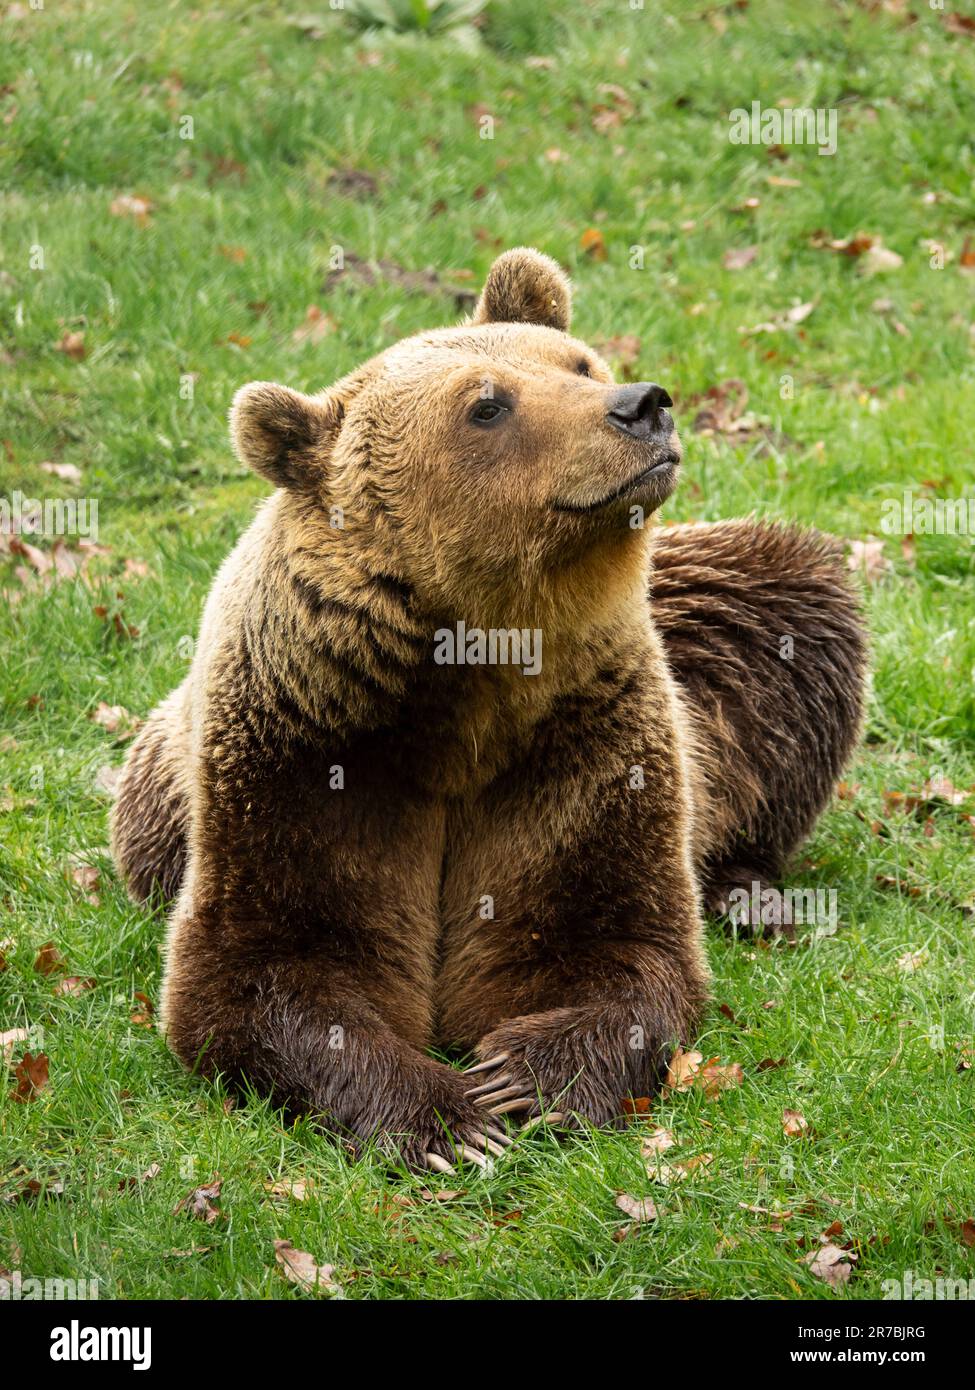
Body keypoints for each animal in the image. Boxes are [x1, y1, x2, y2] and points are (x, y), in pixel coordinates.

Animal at [110, 244, 862, 1167]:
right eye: (486, 405)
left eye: (577, 364)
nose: (642, 405)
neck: (470, 682)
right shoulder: (303, 751)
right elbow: (267, 962)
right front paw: (445, 1119)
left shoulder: (581, 743)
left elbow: (611, 940)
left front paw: (522, 1080)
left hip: (714, 634)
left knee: (792, 603)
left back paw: (751, 896)